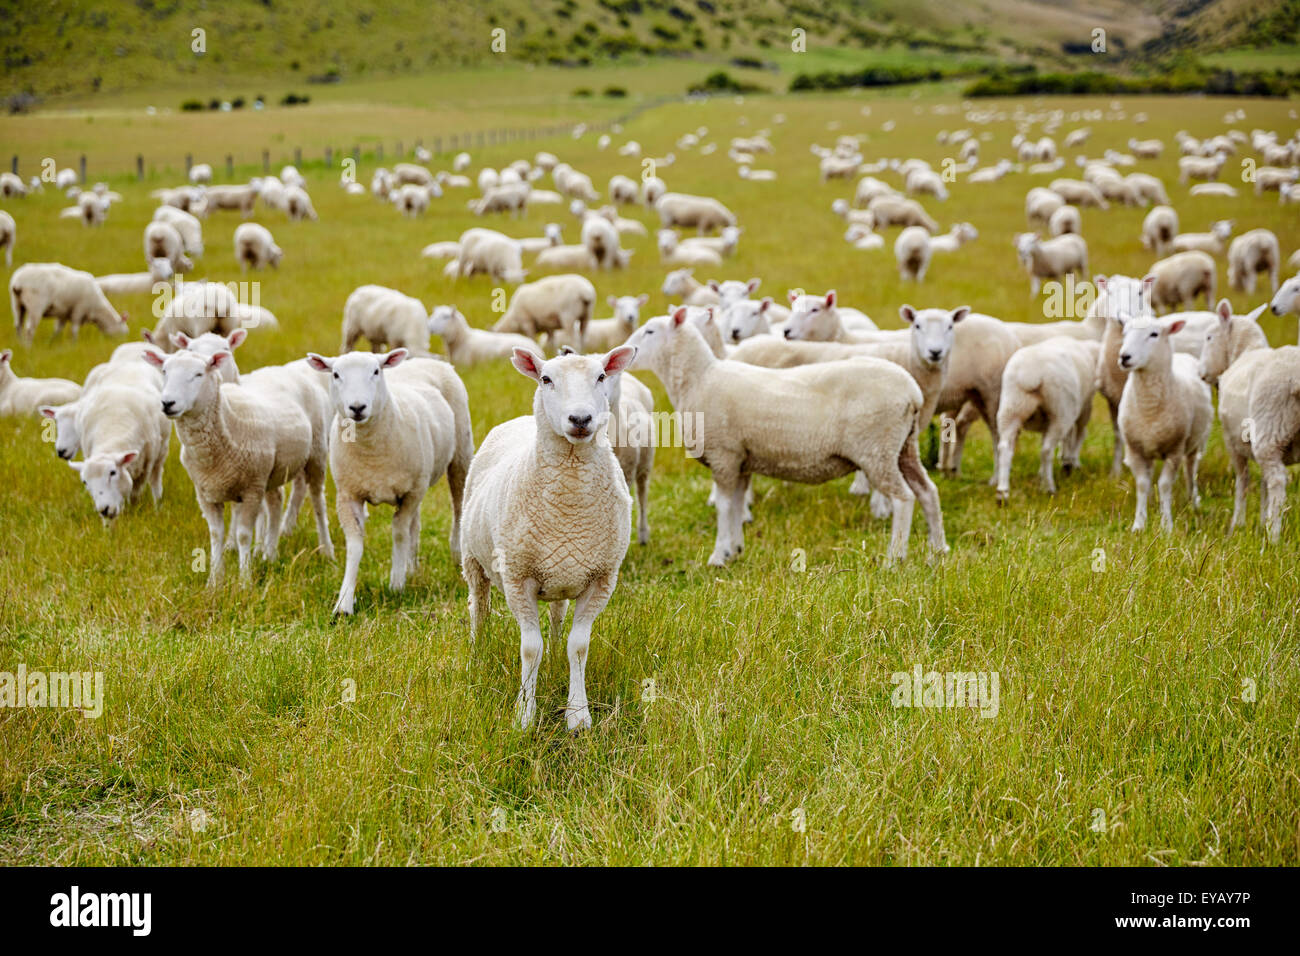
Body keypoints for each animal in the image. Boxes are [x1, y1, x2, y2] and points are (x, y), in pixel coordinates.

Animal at [305, 348, 462, 613]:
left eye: (376, 371)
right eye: (336, 374)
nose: (357, 407)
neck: (371, 451)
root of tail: (421, 360)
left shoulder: (410, 493)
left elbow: (398, 533)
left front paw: (396, 584)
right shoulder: (348, 494)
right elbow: (355, 545)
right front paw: (344, 602)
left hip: (460, 453)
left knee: (458, 505)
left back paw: (456, 555)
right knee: (415, 525)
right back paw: (412, 566)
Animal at [460, 348, 637, 728]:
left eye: (601, 376)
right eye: (546, 379)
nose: (581, 418)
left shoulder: (600, 579)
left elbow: (578, 646)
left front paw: (578, 716)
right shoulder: (518, 578)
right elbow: (530, 649)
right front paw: (524, 716)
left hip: (562, 571)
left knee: (557, 614)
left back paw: (555, 652)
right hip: (472, 559)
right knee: (478, 607)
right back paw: (476, 653)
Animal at [626, 308, 946, 567]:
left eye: (650, 331)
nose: (627, 350)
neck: (699, 379)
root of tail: (912, 391)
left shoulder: (724, 455)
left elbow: (724, 507)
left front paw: (718, 556)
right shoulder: (741, 460)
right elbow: (738, 506)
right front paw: (735, 549)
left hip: (877, 449)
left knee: (904, 498)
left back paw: (895, 558)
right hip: (904, 447)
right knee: (928, 491)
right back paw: (937, 550)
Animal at [993, 335, 1097, 502]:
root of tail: (1030, 373)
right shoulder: (1083, 409)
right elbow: (1079, 435)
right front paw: (1069, 464)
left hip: (1010, 409)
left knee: (1005, 448)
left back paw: (1002, 493)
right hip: (1060, 412)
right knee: (1047, 450)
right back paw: (1049, 488)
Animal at [1112, 317, 1211, 535]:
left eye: (1154, 334)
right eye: (1124, 332)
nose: (1124, 357)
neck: (1149, 410)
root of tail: (1182, 354)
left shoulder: (1174, 450)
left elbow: (1165, 485)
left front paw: (1167, 525)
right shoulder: (1135, 450)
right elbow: (1142, 484)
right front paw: (1139, 524)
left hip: (1196, 443)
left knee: (1191, 470)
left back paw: (1194, 502)